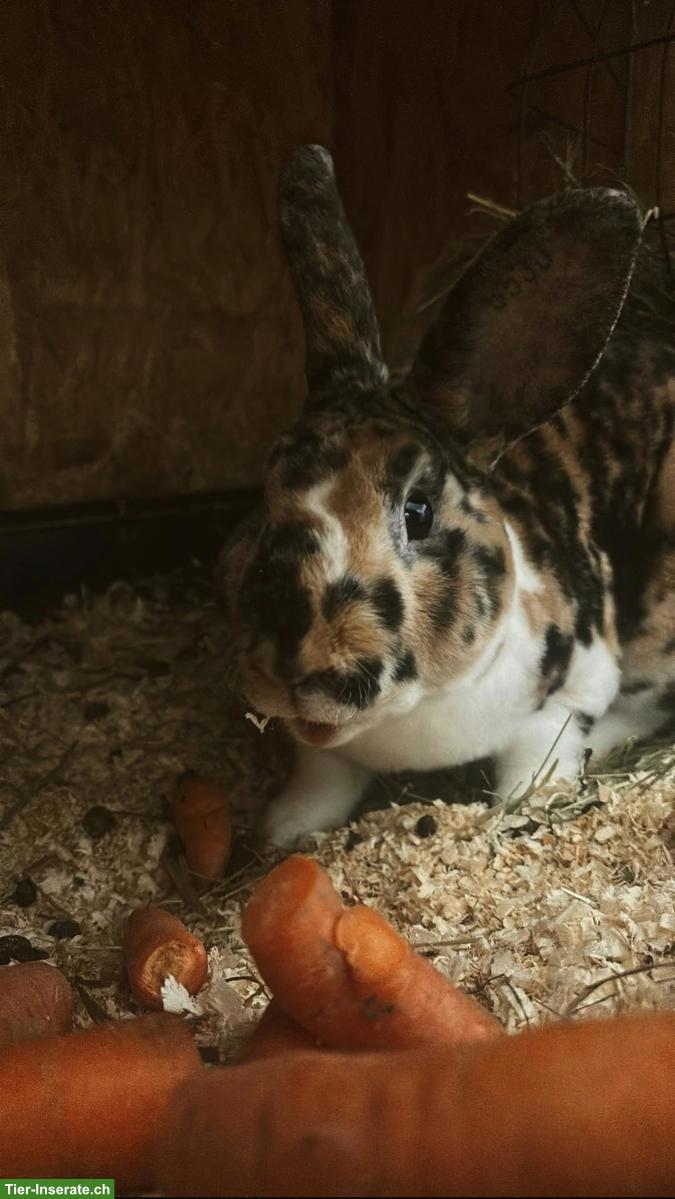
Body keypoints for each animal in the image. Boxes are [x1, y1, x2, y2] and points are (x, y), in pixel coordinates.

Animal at [223, 143, 675, 848]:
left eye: (419, 510)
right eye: (268, 485)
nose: (296, 662)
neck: (410, 717)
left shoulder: (568, 694)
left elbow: (538, 758)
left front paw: (524, 806)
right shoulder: (322, 751)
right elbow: (320, 777)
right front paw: (284, 830)